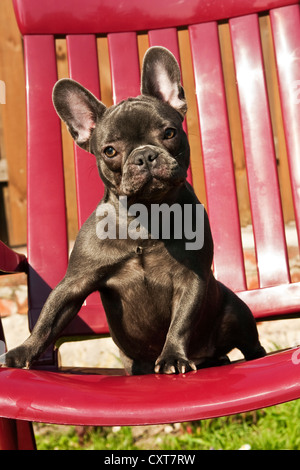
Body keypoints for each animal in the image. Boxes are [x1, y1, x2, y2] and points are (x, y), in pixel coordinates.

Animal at [0, 46, 264, 372]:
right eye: (110, 151)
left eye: (169, 133)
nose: (144, 155)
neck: (145, 217)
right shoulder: (74, 284)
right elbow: (48, 319)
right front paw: (23, 350)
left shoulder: (192, 279)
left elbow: (181, 322)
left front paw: (173, 356)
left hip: (236, 314)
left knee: (250, 344)